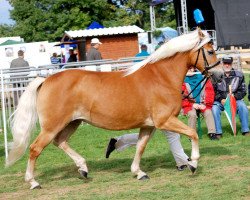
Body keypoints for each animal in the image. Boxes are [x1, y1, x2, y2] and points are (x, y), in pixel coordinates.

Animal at [6, 28, 219, 189]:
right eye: (210, 51)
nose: (219, 74)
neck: (161, 77)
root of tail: (46, 80)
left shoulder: (148, 125)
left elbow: (140, 146)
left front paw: (139, 172)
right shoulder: (165, 121)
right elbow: (192, 133)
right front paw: (193, 163)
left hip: (72, 122)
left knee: (60, 142)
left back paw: (83, 168)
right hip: (52, 125)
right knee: (35, 148)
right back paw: (33, 182)